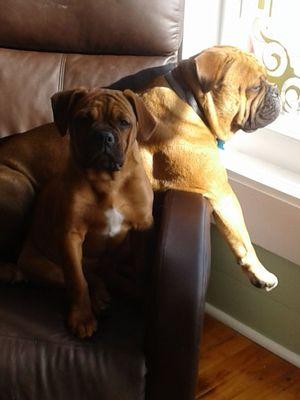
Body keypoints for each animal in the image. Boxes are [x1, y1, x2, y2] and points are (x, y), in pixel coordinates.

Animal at [0, 46, 282, 290]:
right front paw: (261, 272)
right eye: (256, 86)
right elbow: (242, 237)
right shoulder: (221, 191)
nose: (277, 91)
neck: (189, 101)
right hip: (19, 187)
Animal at [17, 88, 155, 338]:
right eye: (83, 119)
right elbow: (77, 281)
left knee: (106, 273)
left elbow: (141, 268)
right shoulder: (70, 236)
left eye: (124, 123)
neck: (109, 181)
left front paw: (142, 295)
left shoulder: (142, 229)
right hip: (45, 267)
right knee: (86, 277)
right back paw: (99, 298)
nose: (103, 137)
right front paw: (82, 318)